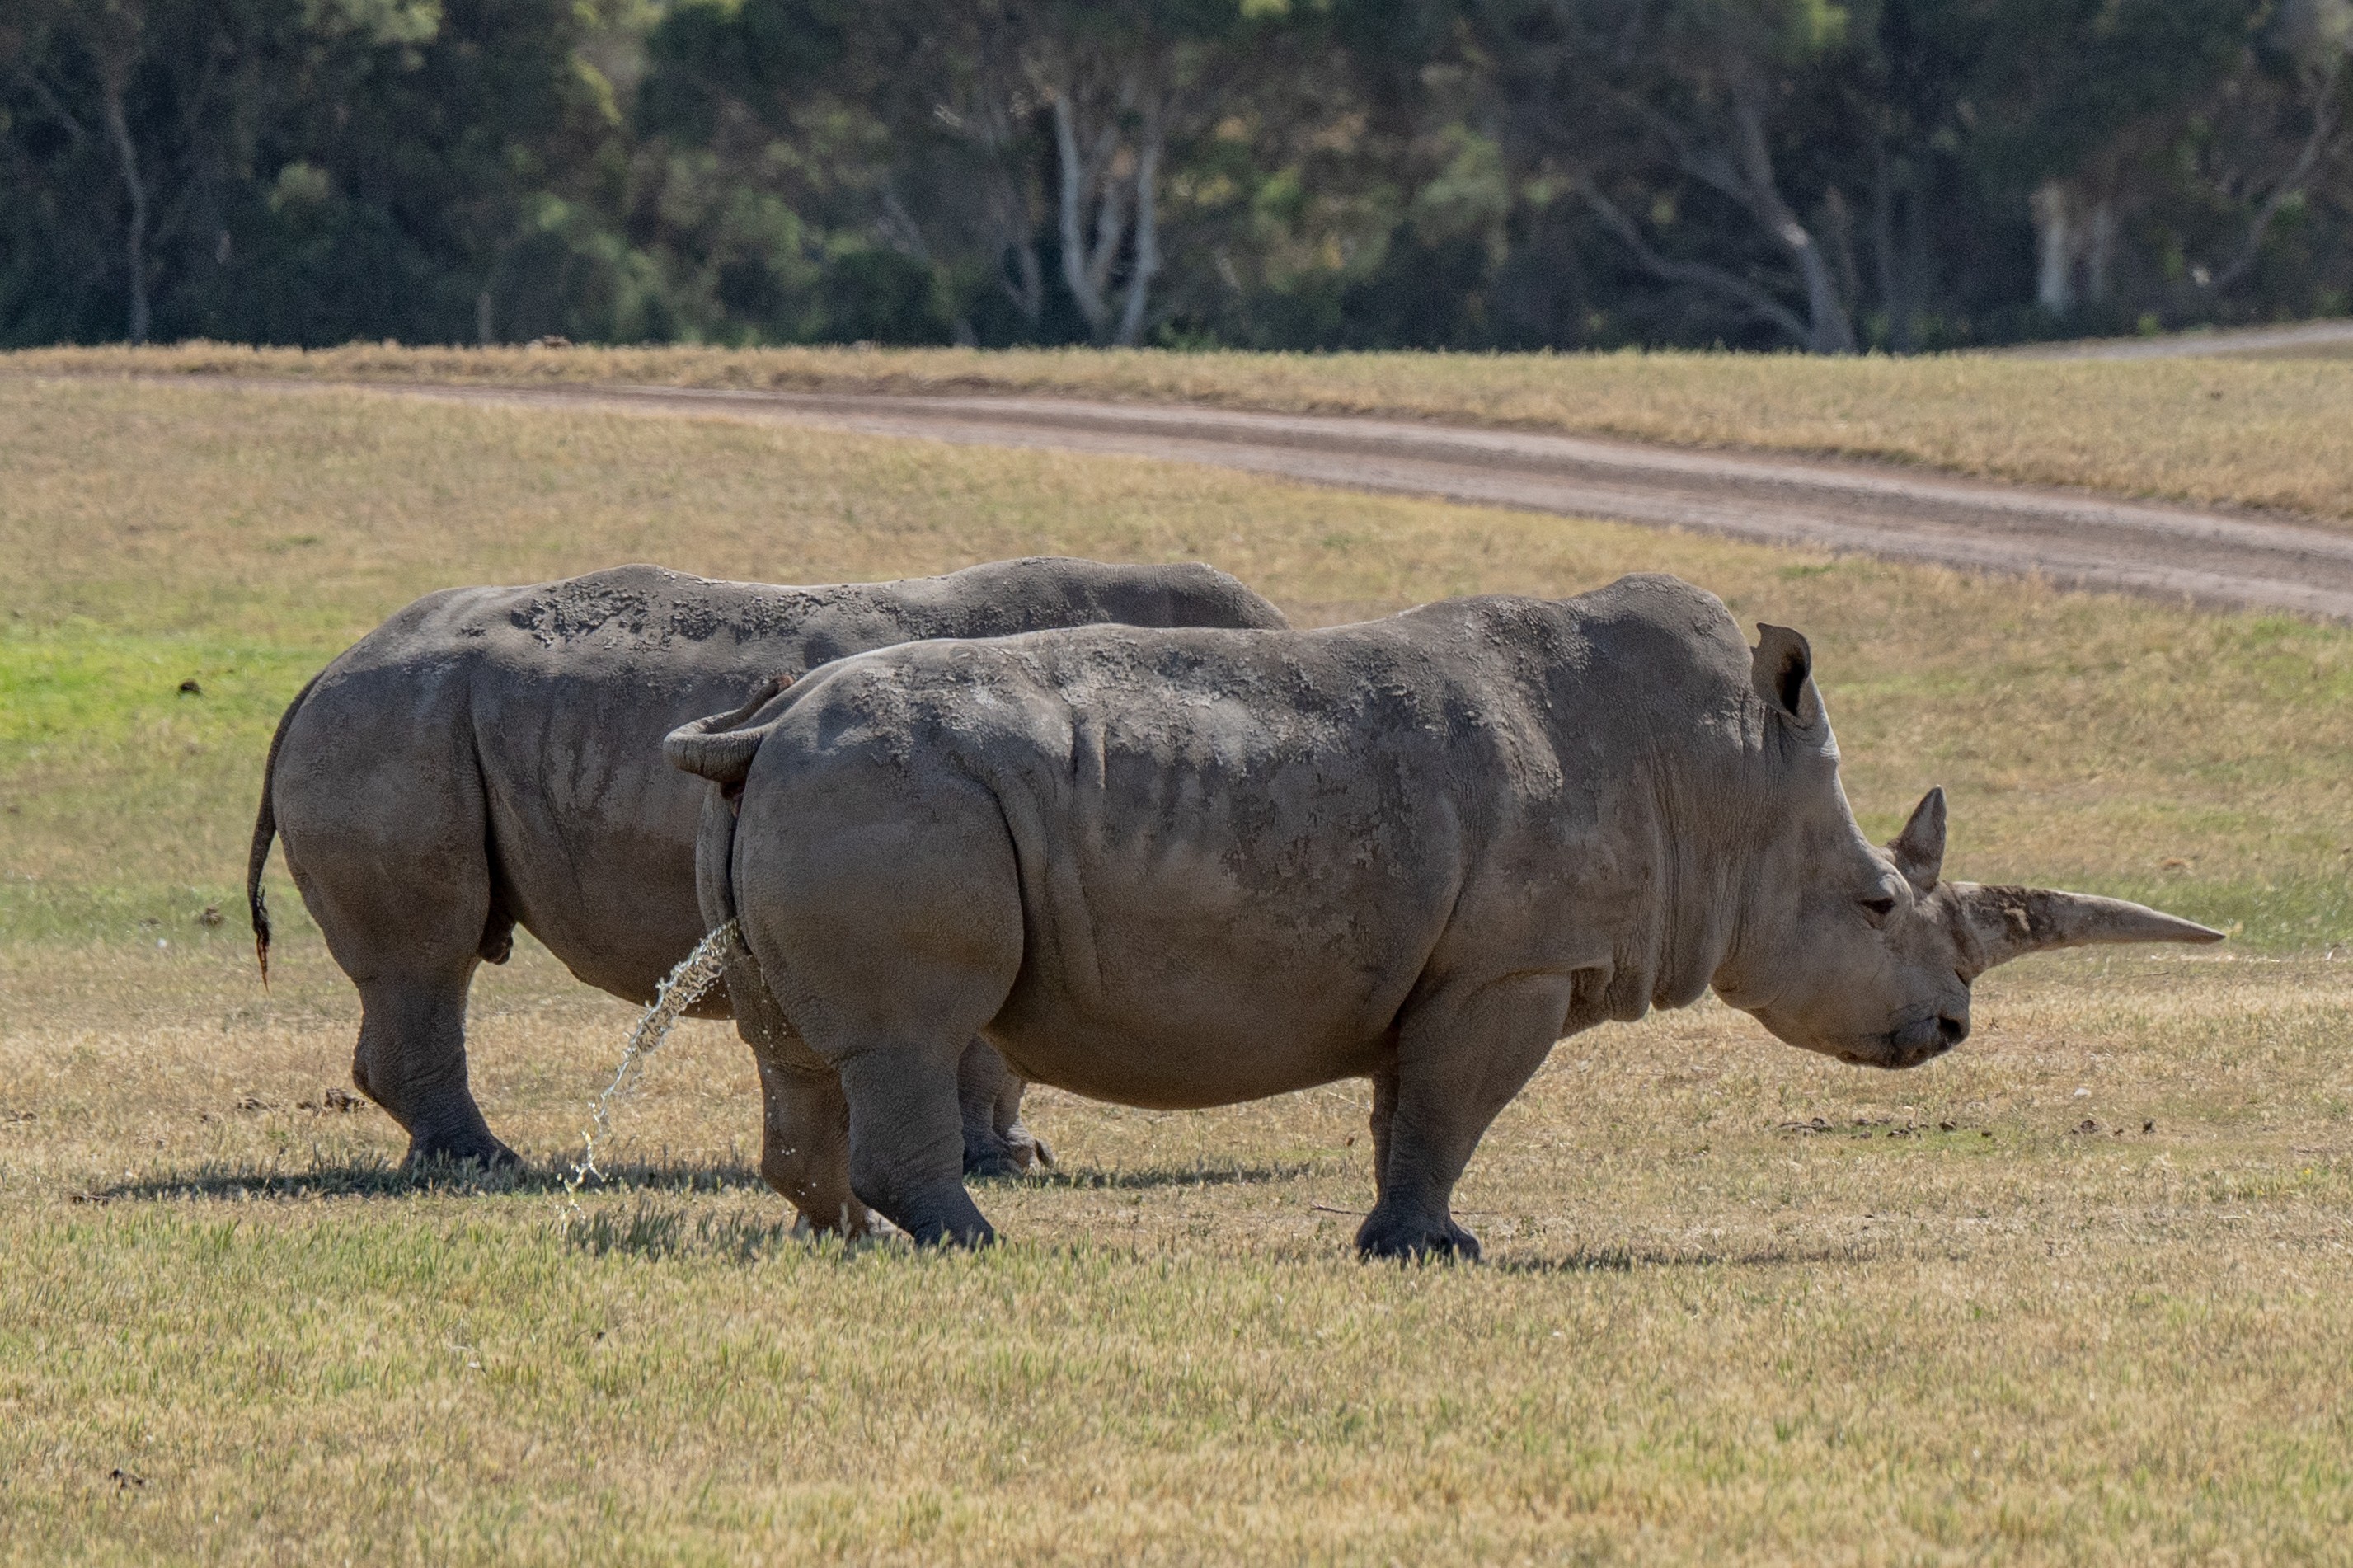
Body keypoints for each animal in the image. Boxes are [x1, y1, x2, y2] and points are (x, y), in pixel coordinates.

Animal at [246, 557, 1288, 1170]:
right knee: (430, 961)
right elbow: (980, 1038)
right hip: (390, 722)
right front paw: (1001, 1165)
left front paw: (1014, 1156)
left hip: (403, 719)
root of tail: (323, 672)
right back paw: (487, 1164)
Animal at [666, 572, 2222, 1256]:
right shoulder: (1510, 965)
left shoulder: (1449, 965)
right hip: (898, 795)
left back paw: (842, 1235)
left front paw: (1398, 1240)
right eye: (1875, 899)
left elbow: (1402, 1111)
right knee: (914, 1035)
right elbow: (1448, 1112)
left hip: (825, 793)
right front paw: (1435, 1253)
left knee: (797, 1046)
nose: (1947, 1029)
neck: (1717, 779)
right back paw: (969, 1241)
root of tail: (762, 728)